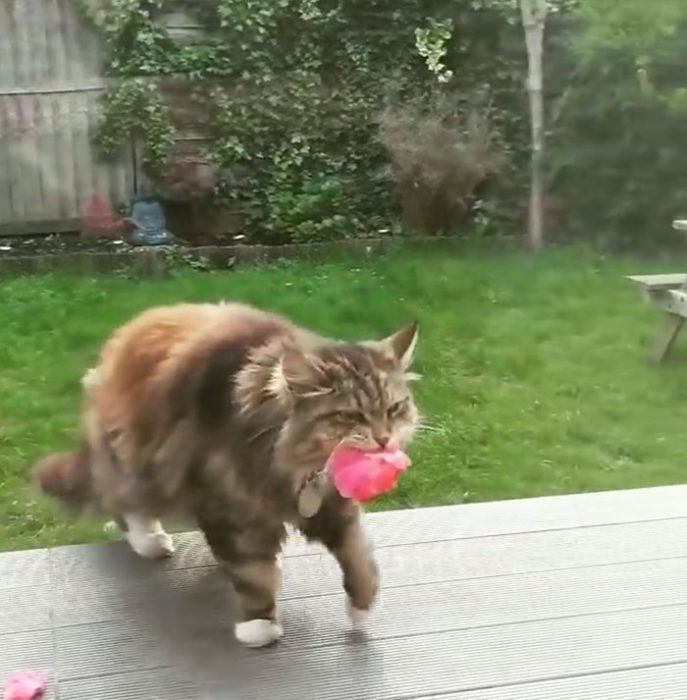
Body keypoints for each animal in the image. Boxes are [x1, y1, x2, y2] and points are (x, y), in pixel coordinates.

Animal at [35, 304, 422, 648]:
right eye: (350, 415)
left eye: (394, 408)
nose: (385, 439)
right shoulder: (225, 504)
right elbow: (252, 572)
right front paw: (259, 624)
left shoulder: (332, 506)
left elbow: (357, 554)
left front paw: (361, 605)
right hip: (138, 464)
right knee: (122, 502)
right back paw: (150, 541)